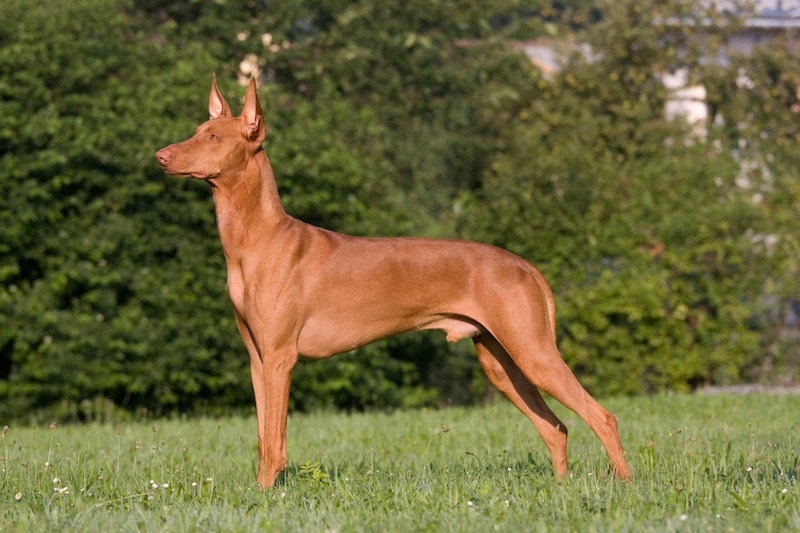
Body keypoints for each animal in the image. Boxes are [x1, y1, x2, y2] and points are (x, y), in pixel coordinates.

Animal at [156, 75, 632, 486]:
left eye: (214, 138)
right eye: (197, 130)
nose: (161, 155)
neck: (259, 239)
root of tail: (524, 264)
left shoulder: (279, 358)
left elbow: (275, 442)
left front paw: (267, 496)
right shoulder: (257, 359)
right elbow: (261, 439)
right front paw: (261, 493)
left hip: (534, 354)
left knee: (602, 417)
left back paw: (624, 484)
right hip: (501, 364)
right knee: (555, 427)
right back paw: (562, 487)